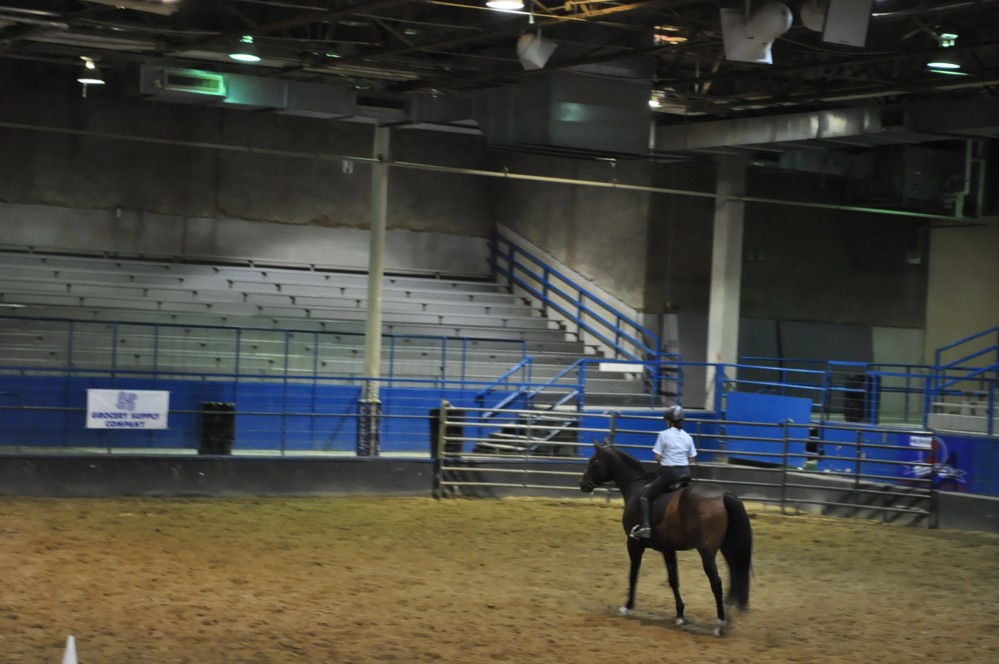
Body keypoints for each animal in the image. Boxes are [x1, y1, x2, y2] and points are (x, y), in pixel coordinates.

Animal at [580, 438, 752, 636]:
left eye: (593, 460)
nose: (582, 483)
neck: (636, 486)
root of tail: (724, 495)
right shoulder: (668, 549)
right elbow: (673, 580)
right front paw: (680, 616)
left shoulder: (634, 544)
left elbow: (633, 575)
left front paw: (627, 607)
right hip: (728, 548)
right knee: (734, 578)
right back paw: (727, 620)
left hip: (707, 553)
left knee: (716, 583)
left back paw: (720, 624)